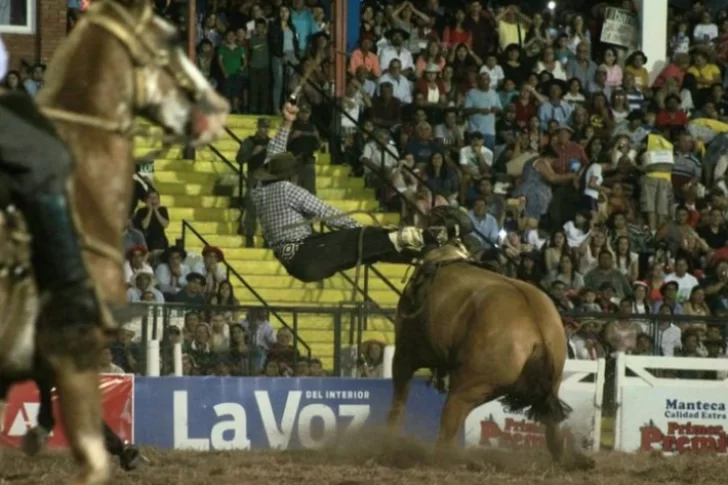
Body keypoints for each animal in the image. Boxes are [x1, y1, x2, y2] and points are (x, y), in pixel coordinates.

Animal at [386, 246, 592, 468]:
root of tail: (538, 333)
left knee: (450, 423)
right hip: (544, 384)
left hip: (468, 386)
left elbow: (399, 398)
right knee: (551, 426)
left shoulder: (405, 354)